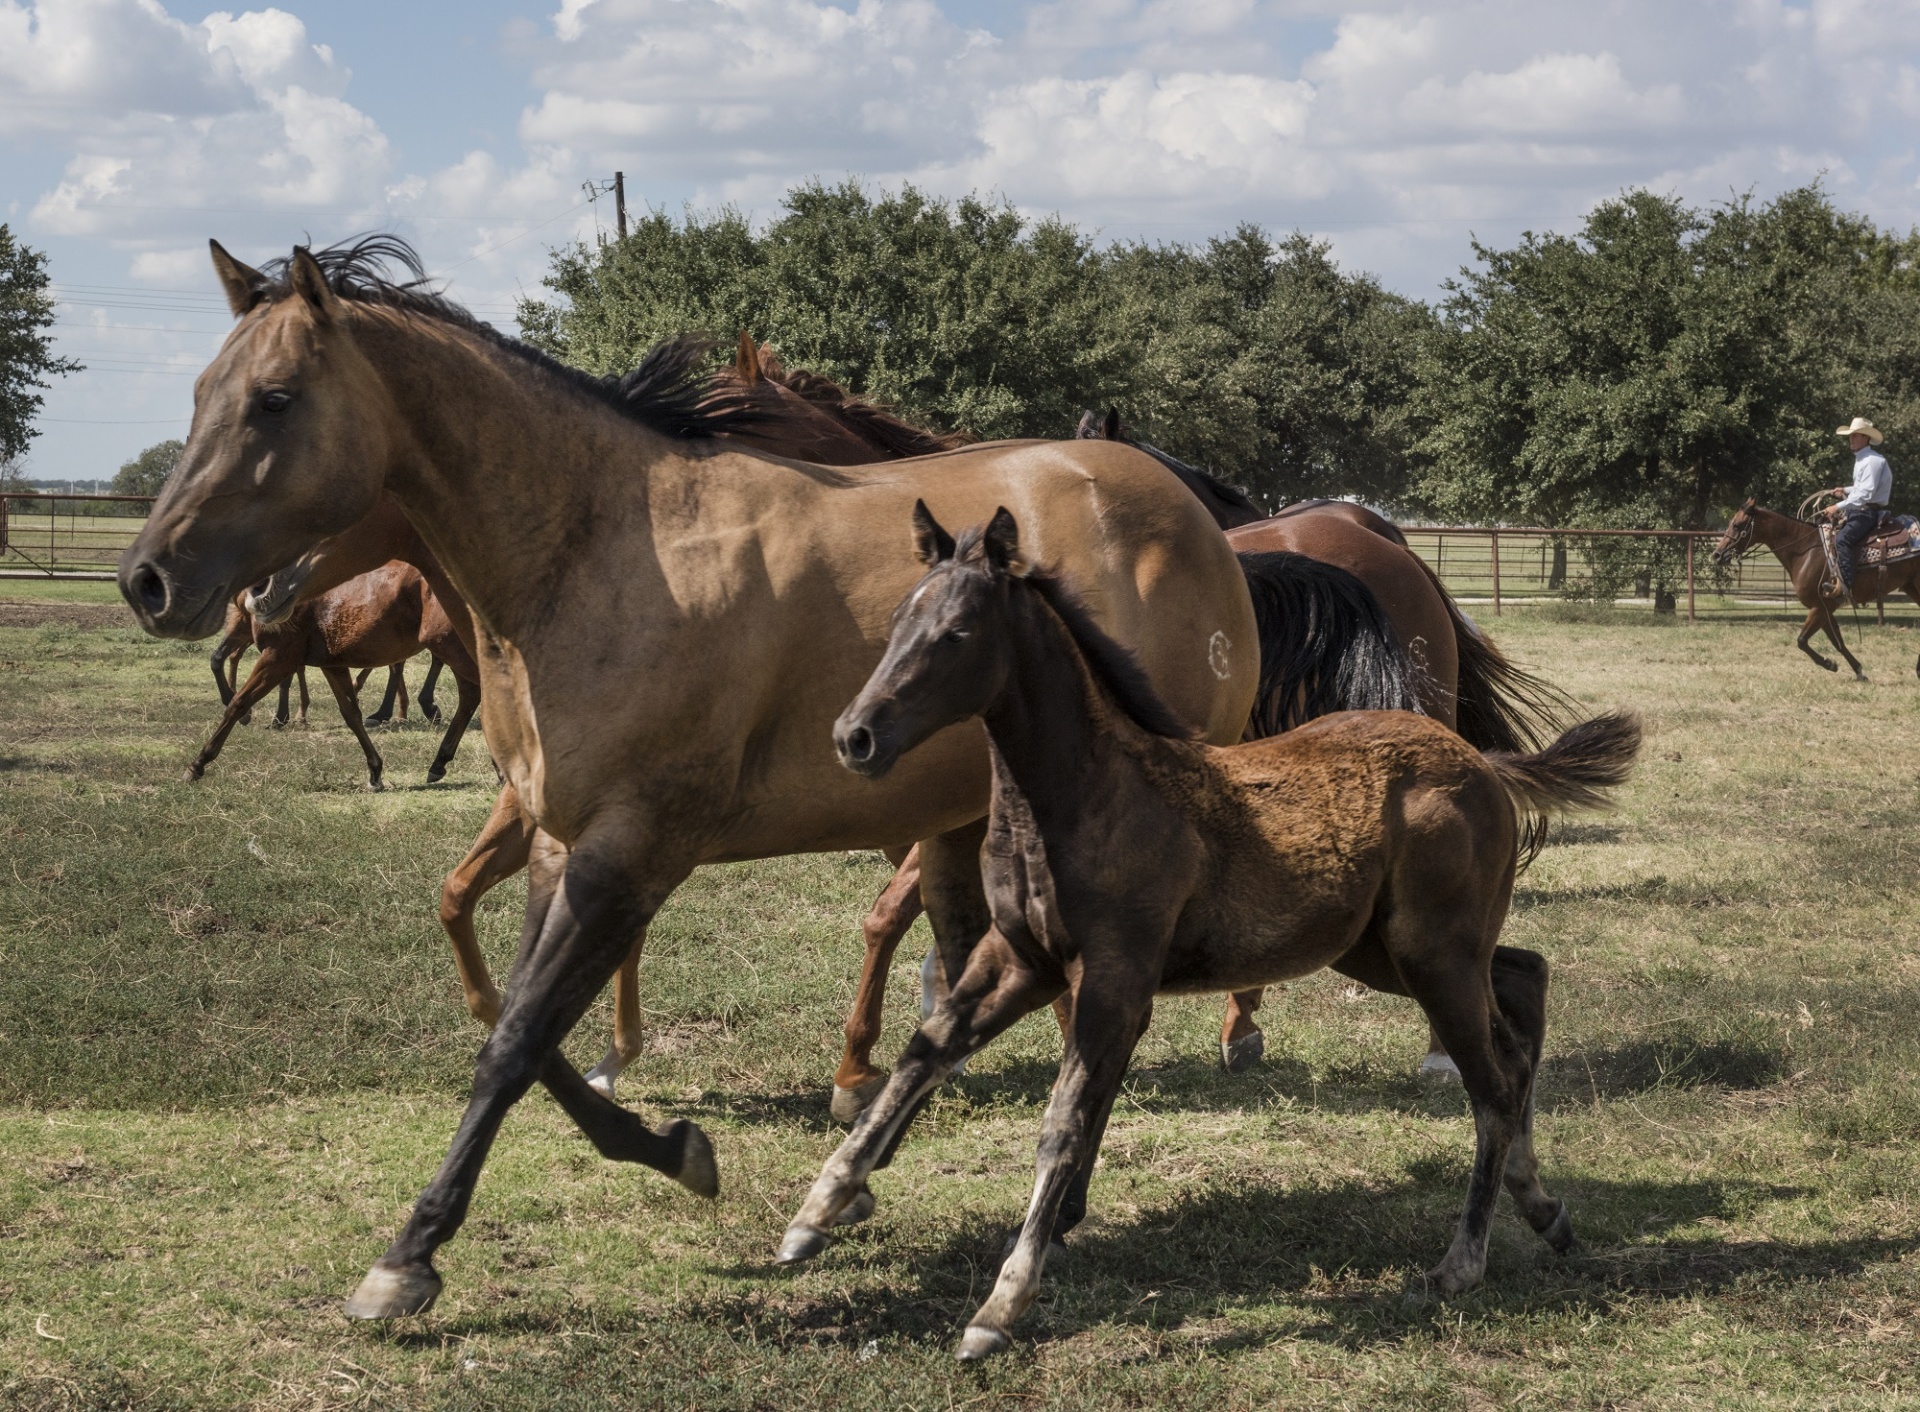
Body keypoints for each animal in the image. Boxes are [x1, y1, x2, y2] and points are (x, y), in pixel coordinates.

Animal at [116, 234, 1320, 1321]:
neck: (597, 551)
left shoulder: (629, 853)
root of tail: (1198, 519)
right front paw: (682, 1146)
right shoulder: (559, 845)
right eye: (203, 392)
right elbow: (523, 1029)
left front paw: (407, 1256)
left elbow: (513, 1043)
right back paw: (898, 1185)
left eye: (273, 401)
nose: (149, 580)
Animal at [787, 507, 1643, 1360]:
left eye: (957, 633)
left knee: (1492, 1081)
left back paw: (1462, 1262)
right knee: (1524, 984)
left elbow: (1062, 1121)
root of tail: (1482, 763)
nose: (855, 735)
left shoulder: (1114, 976)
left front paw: (1001, 1304)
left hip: (1433, 956)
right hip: (1388, 951)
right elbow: (925, 1054)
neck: (1082, 796)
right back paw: (1544, 1210)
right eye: (898, 621)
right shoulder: (1020, 960)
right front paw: (817, 1212)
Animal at [1712, 499, 1920, 683]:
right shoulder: (1825, 609)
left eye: (1737, 525)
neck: (1805, 550)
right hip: (1911, 587)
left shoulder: (1819, 607)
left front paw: (1830, 664)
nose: (1717, 554)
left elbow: (1802, 640)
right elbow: (1838, 642)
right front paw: (1859, 671)